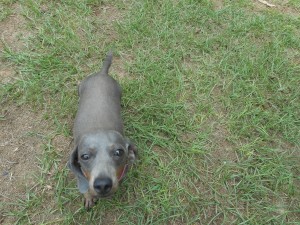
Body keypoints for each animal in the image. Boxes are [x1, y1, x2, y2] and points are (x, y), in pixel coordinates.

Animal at [68, 52, 137, 209]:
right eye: (84, 156)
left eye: (119, 152)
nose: (103, 184)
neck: (100, 127)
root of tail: (102, 73)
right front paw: (88, 197)